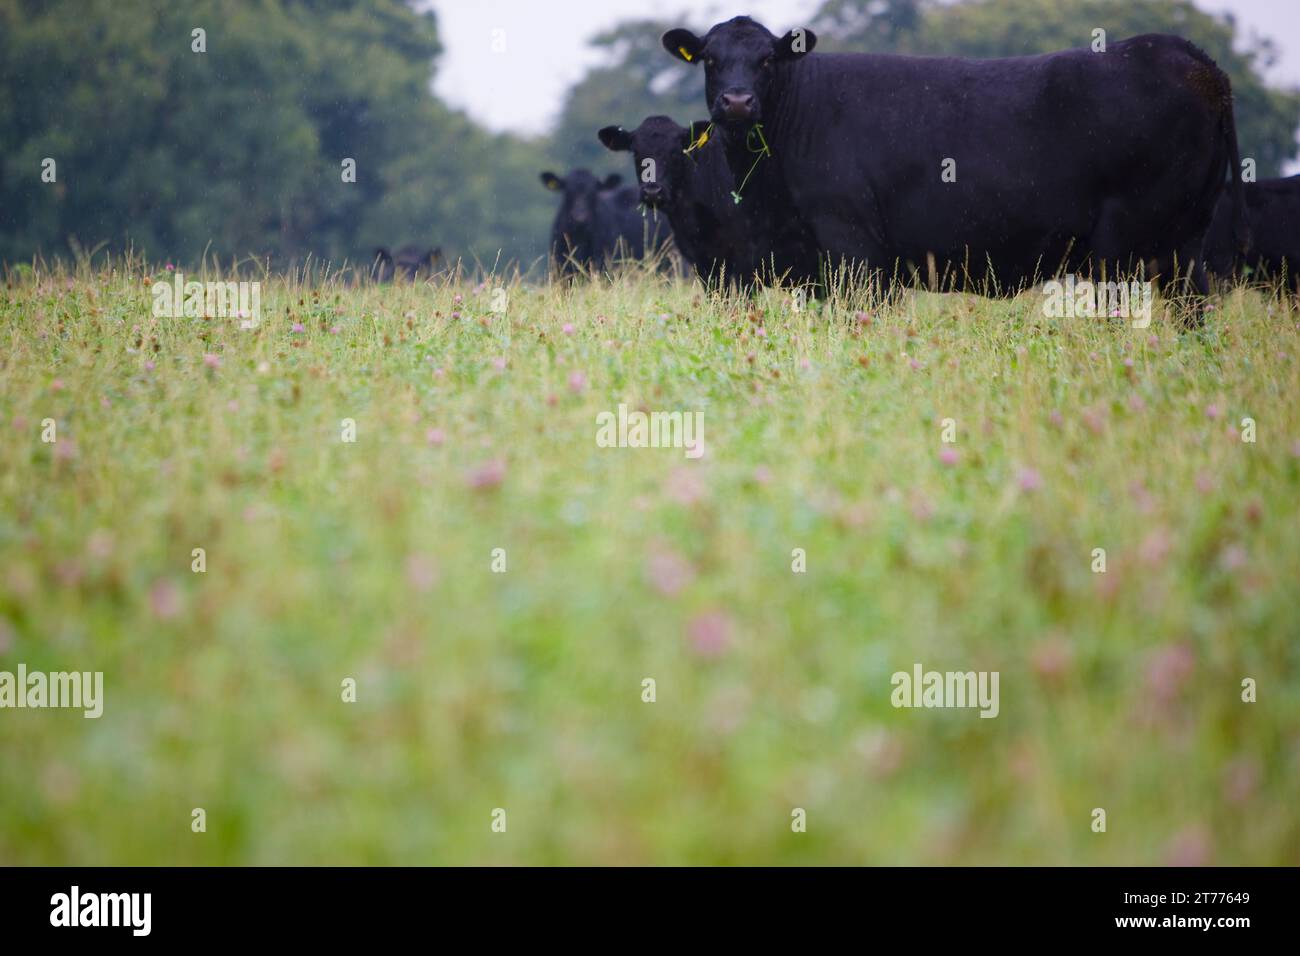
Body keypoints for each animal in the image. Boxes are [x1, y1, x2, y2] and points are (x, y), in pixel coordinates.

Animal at [662, 17, 1248, 316]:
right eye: (710, 59)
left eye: (767, 59)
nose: (737, 101)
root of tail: (1187, 56)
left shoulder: (854, 250)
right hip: (1182, 242)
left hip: (1130, 243)